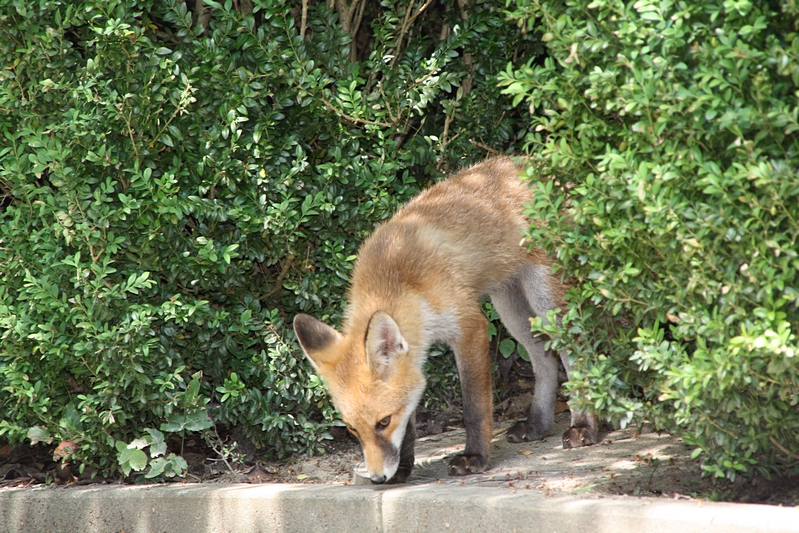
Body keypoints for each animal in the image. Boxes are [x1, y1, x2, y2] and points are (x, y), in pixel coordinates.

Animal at [292, 156, 592, 484]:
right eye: (351, 429)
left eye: (383, 422)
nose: (378, 479)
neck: (398, 278)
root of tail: (536, 162)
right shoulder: (414, 353)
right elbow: (410, 417)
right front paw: (403, 467)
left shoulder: (470, 326)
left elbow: (473, 407)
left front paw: (475, 457)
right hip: (510, 307)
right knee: (545, 358)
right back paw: (538, 423)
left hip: (544, 297)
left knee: (573, 351)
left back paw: (583, 426)